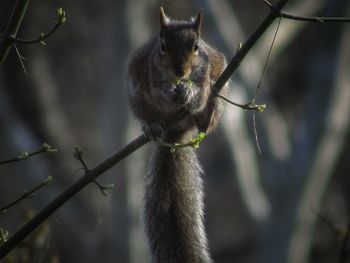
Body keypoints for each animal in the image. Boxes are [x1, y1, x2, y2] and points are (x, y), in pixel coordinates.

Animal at [127, 7, 228, 262]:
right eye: (162, 46)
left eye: (196, 47)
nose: (180, 71)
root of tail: (176, 133)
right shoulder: (147, 71)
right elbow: (158, 91)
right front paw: (168, 91)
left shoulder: (207, 72)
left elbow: (200, 93)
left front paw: (189, 92)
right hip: (136, 94)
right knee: (147, 114)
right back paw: (151, 126)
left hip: (222, 90)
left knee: (208, 115)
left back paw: (206, 119)